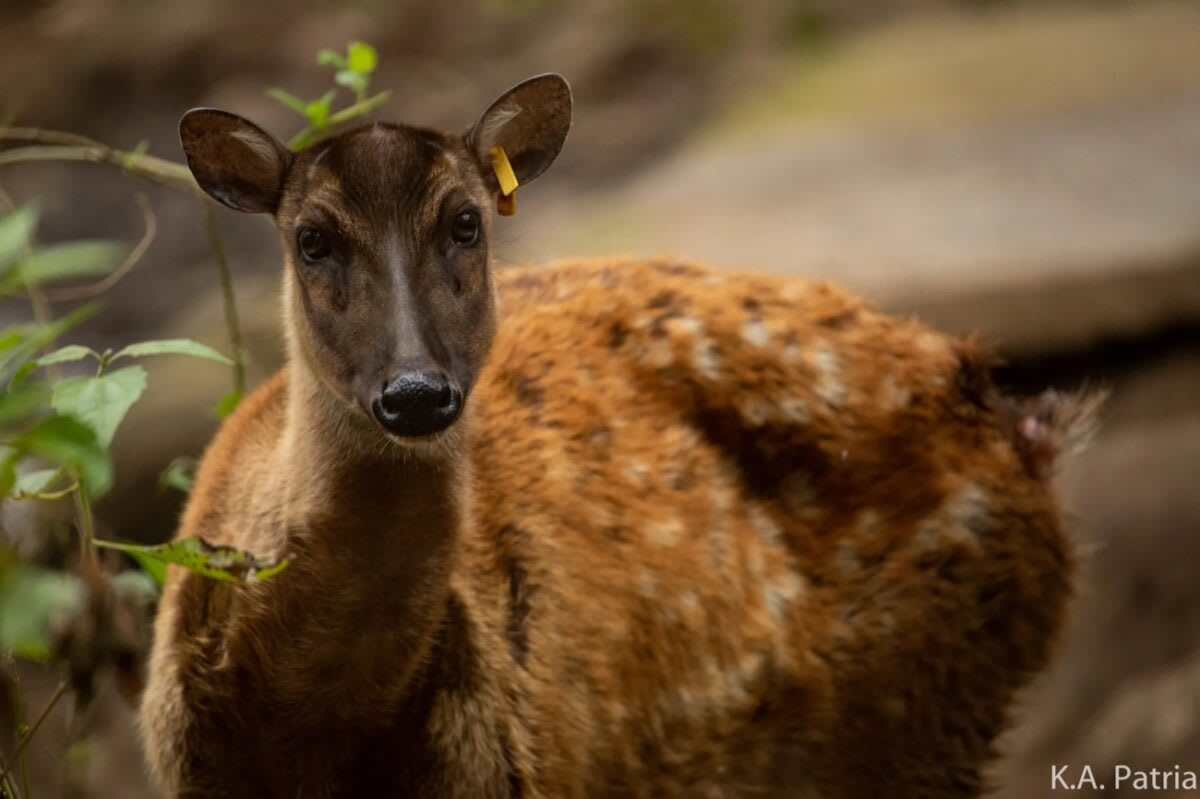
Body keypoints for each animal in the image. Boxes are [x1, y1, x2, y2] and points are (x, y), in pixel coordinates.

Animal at [140, 73, 1096, 798]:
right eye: (311, 238)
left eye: (466, 221)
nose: (414, 393)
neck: (312, 726)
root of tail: (1006, 413)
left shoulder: (519, 762)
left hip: (927, 701)